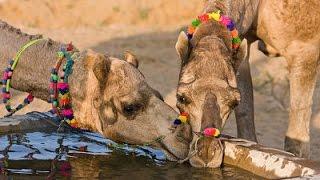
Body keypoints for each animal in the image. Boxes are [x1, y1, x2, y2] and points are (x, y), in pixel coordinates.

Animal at [175, 0, 320, 167]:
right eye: (181, 98)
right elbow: (245, 117)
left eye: (233, 102)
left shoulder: (305, 49)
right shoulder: (242, 42)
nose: (206, 154)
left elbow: (297, 140)